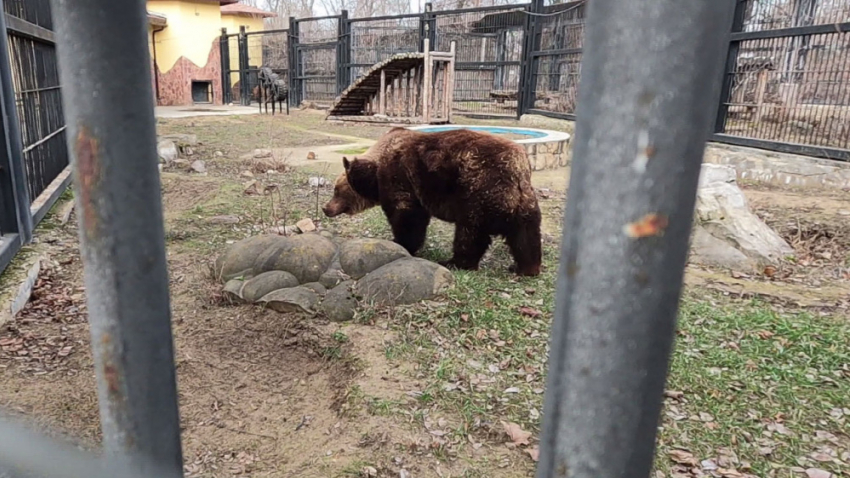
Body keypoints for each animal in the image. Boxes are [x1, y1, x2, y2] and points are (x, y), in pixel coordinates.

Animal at [322, 127, 540, 276]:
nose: (326, 208)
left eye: (336, 190)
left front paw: (400, 243)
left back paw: (454, 262)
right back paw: (524, 267)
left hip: (478, 189)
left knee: (470, 233)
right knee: (525, 236)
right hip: (523, 201)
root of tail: (519, 165)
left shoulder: (400, 178)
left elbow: (407, 218)